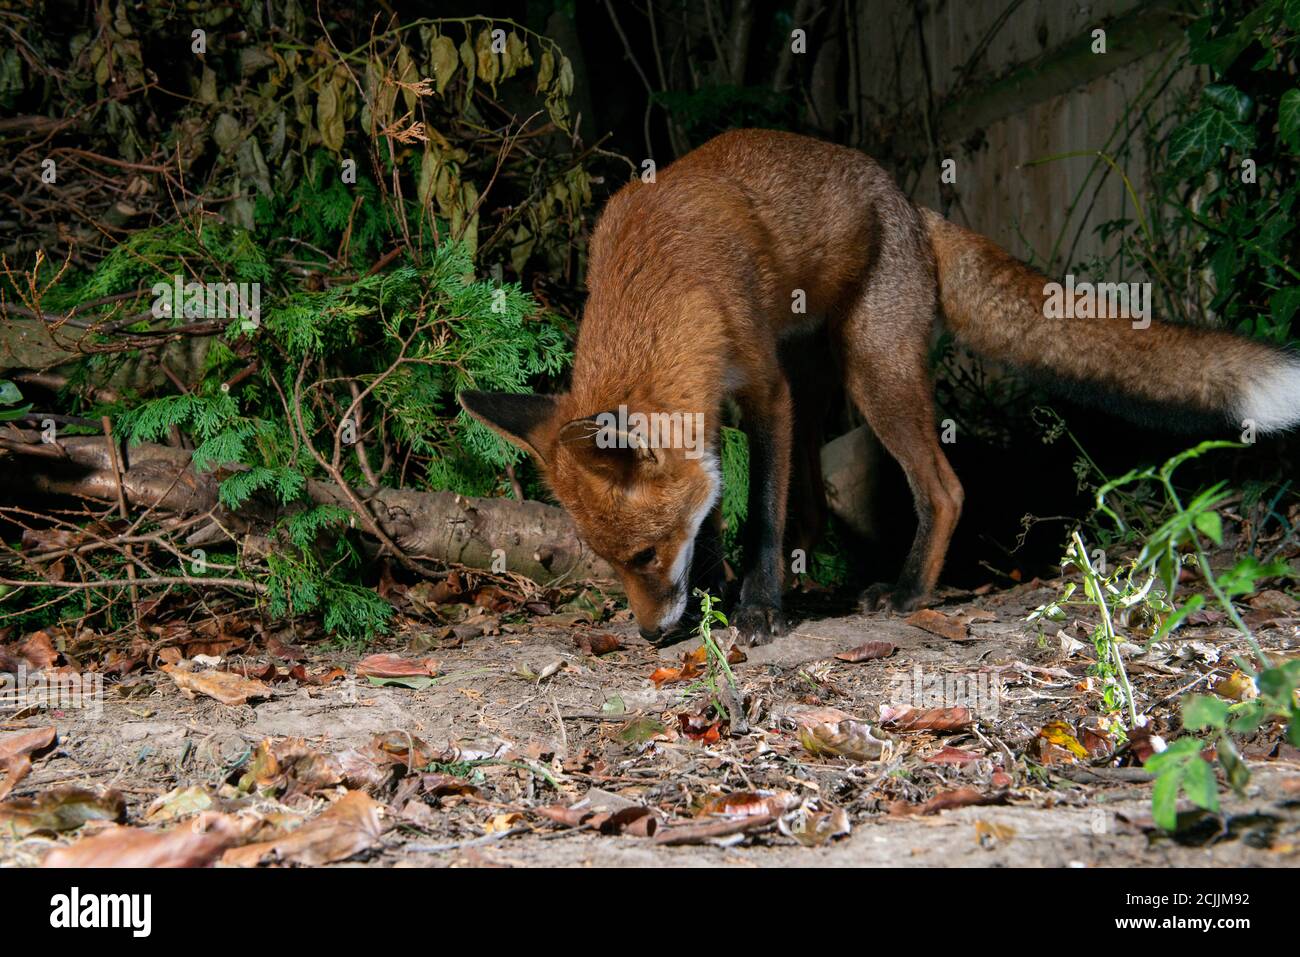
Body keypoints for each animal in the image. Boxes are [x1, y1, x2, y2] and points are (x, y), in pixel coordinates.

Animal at [460, 127, 1300, 647]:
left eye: (643, 554)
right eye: (610, 563)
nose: (648, 632)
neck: (661, 271)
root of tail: (912, 207)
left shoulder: (761, 387)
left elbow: (759, 513)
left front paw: (757, 608)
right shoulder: (723, 405)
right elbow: (728, 512)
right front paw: (722, 594)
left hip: (872, 371)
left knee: (944, 488)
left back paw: (904, 591)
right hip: (822, 378)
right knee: (813, 510)